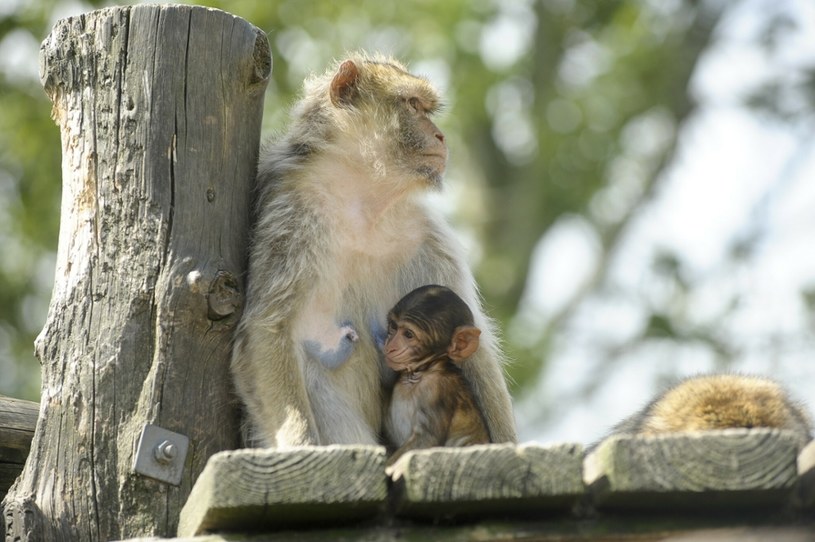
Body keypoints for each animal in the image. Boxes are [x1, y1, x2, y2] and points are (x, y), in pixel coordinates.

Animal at [230, 53, 516, 448]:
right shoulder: (290, 218)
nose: (440, 136)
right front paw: (302, 445)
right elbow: (267, 330)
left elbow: (470, 342)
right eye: (414, 105)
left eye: (424, 107)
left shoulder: (426, 237)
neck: (363, 201)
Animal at [384, 286, 490, 470]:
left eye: (408, 334)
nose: (390, 347)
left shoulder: (436, 389)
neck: (422, 371)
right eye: (393, 326)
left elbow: (426, 438)